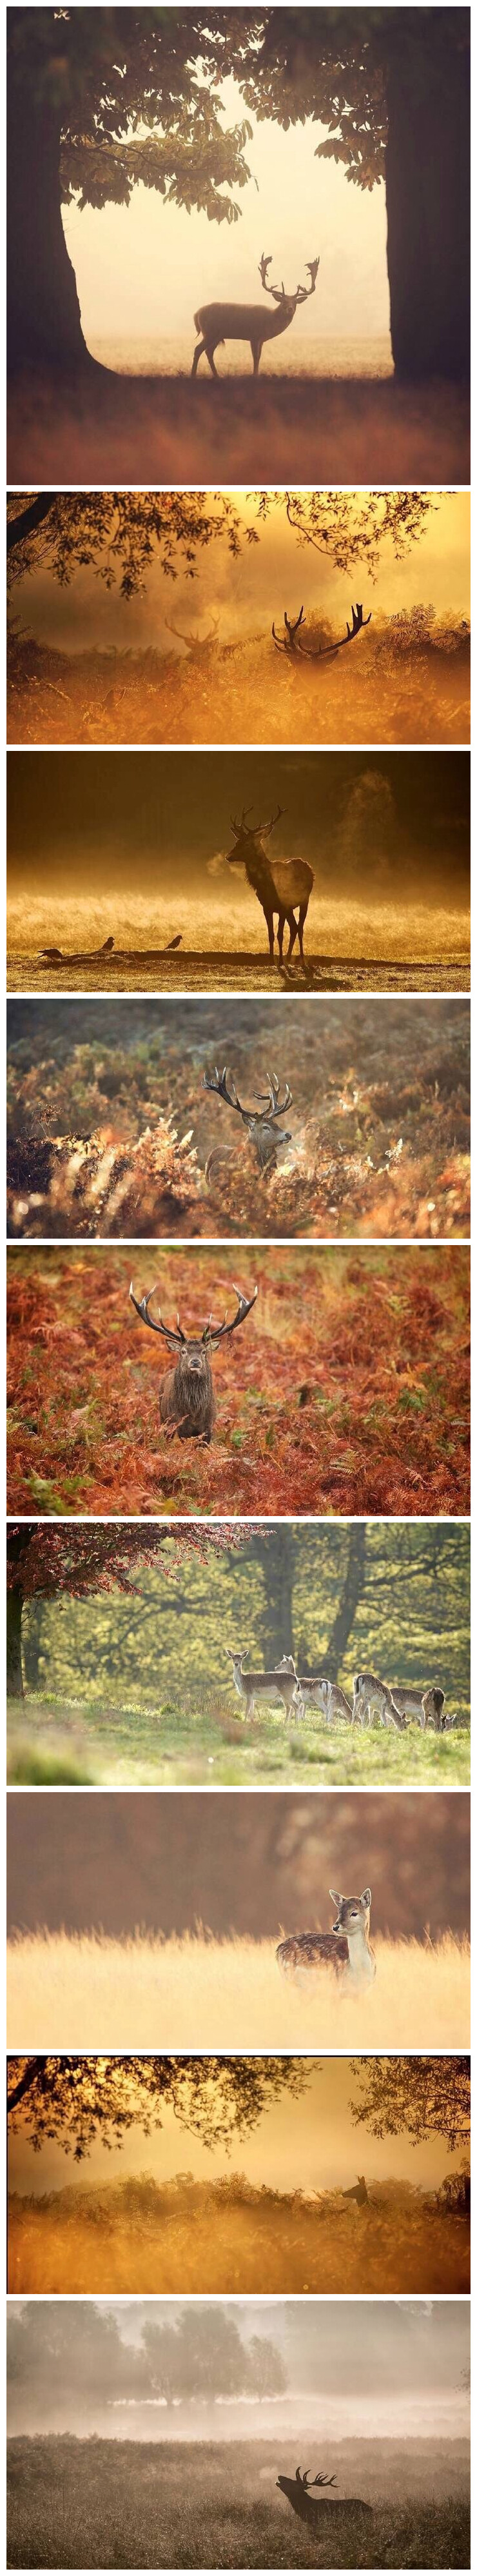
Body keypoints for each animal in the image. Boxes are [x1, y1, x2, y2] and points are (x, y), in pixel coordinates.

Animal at [128, 1277, 257, 1443]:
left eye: (204, 1352)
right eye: (183, 1351)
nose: (195, 1362)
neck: (195, 1413)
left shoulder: (208, 1427)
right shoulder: (181, 1426)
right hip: (164, 1418)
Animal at [190, 250, 317, 375]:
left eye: (295, 302)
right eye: (284, 301)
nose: (290, 309)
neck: (271, 321)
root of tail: (197, 313)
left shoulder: (261, 339)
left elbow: (259, 357)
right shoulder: (254, 335)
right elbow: (255, 357)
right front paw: (255, 375)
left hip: (216, 335)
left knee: (208, 352)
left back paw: (217, 376)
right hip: (209, 332)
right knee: (198, 349)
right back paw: (194, 375)